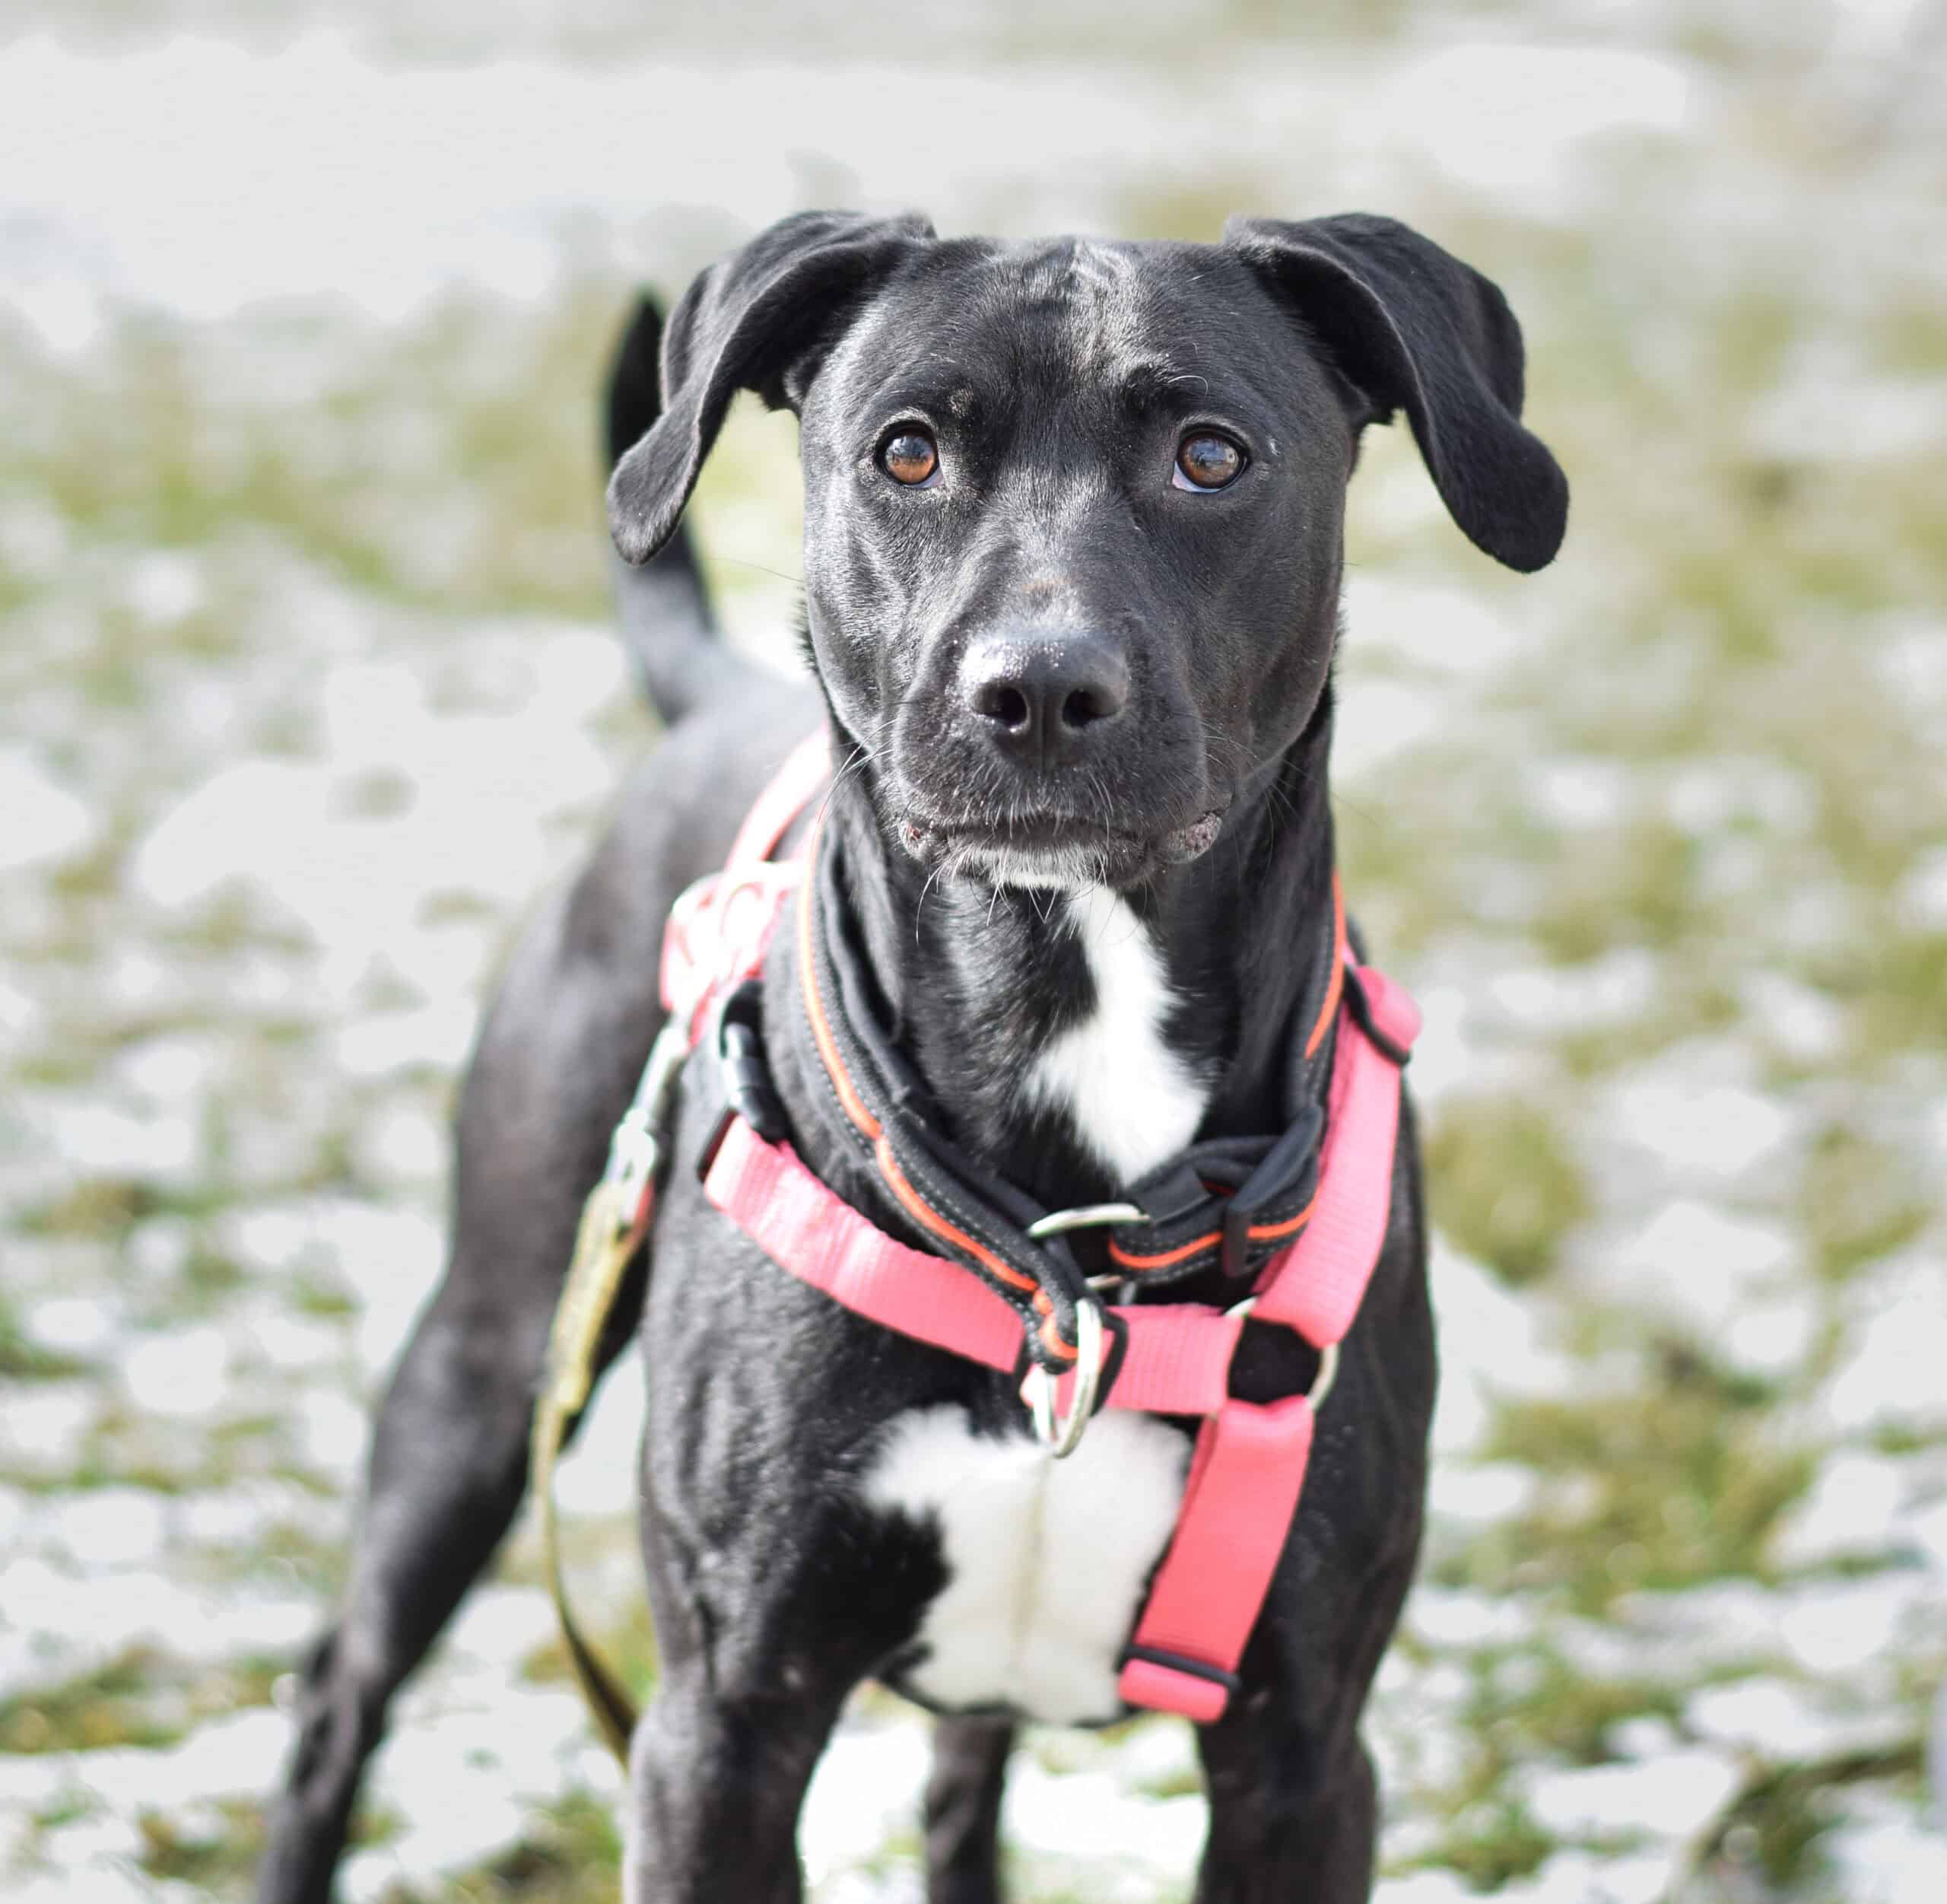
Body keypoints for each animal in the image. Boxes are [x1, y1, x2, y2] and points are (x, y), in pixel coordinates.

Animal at [258, 209, 1567, 1904]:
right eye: (907, 452)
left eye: (1211, 456)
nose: (1038, 689)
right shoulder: (720, 1730)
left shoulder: (1300, 1752)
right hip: (484, 1366)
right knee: (334, 1701)